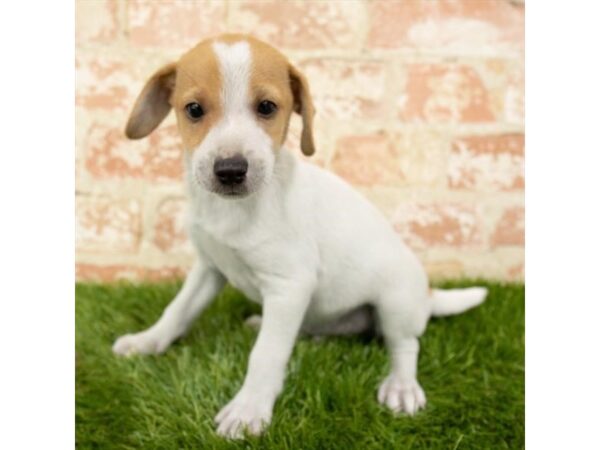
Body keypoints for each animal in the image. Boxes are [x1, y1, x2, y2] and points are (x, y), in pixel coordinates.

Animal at [112, 34, 488, 440]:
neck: (237, 210)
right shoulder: (210, 268)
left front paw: (248, 409)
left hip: (396, 302)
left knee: (404, 346)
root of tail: (427, 296)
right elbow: (178, 310)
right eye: (193, 109)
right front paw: (148, 341)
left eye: (266, 107)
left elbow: (266, 354)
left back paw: (402, 385)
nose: (230, 170)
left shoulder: (289, 285)